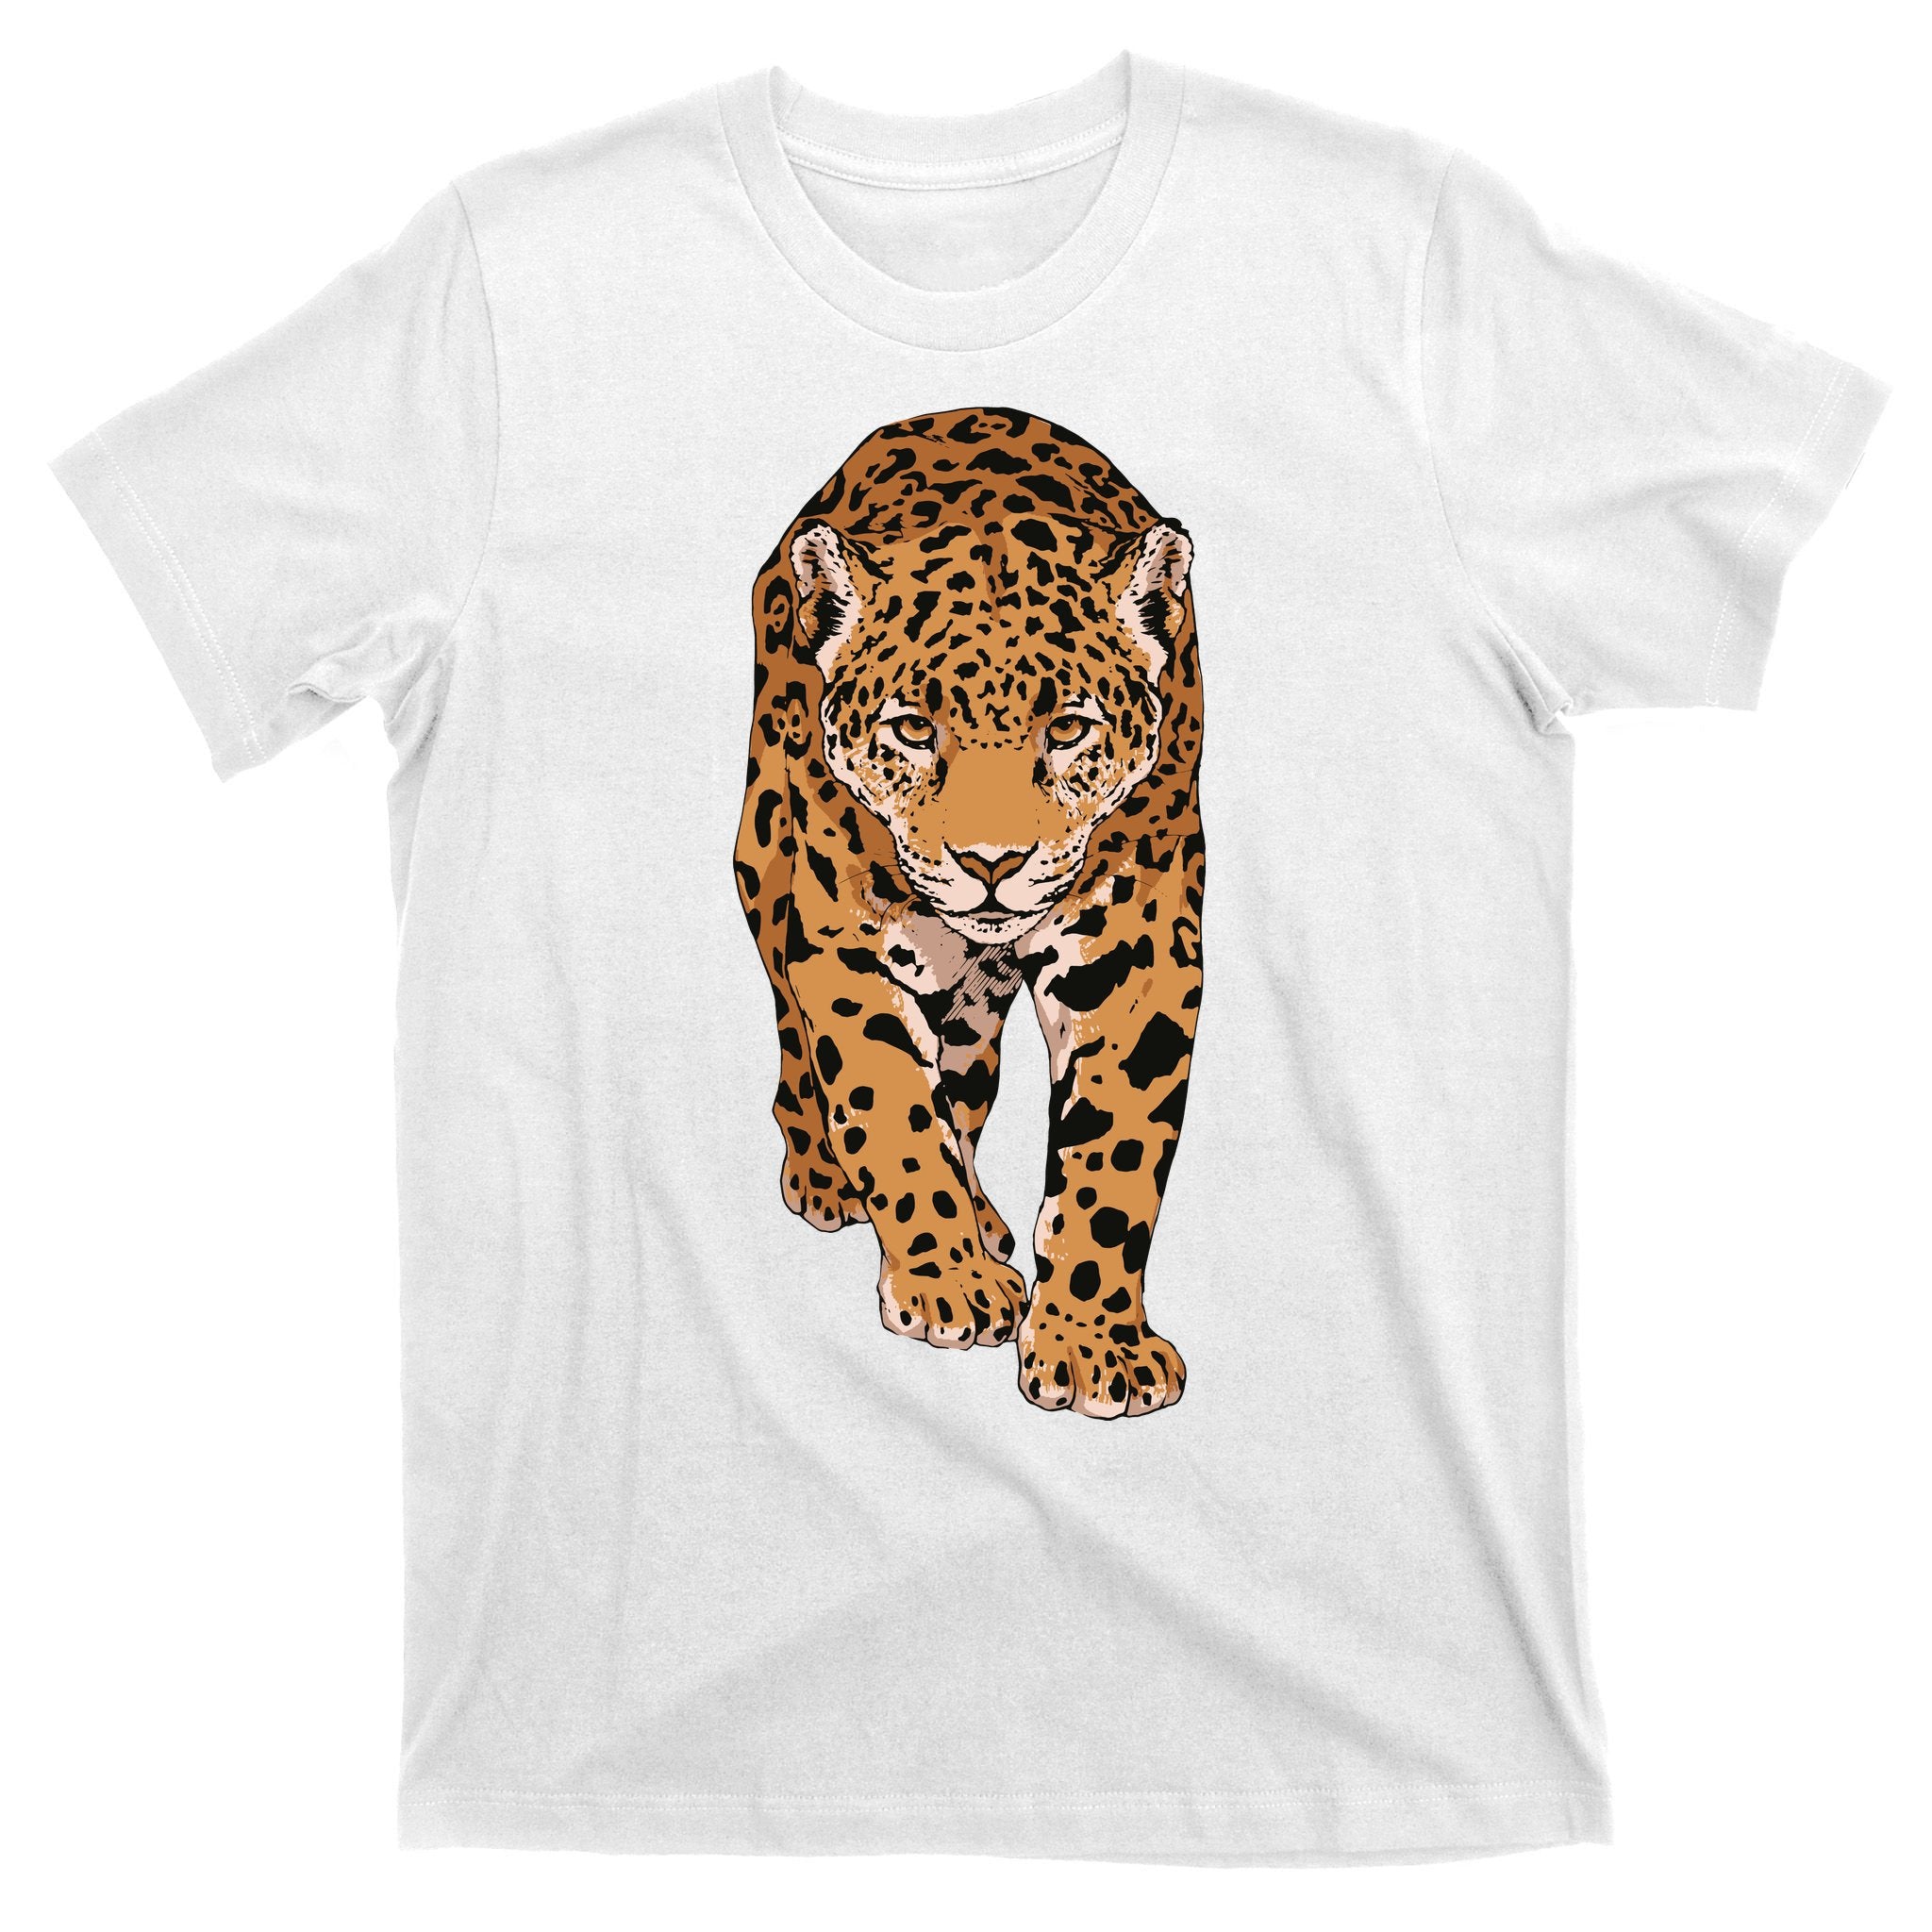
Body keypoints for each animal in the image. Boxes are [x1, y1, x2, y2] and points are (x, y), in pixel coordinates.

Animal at [732, 407, 1204, 1418]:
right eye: (914, 728)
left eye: (1067, 729)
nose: (992, 865)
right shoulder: (852, 942)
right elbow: (890, 1108)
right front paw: (946, 1282)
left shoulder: (1135, 952)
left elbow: (1114, 1153)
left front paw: (1094, 1343)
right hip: (764, 853)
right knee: (796, 1027)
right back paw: (827, 1174)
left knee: (965, 1075)